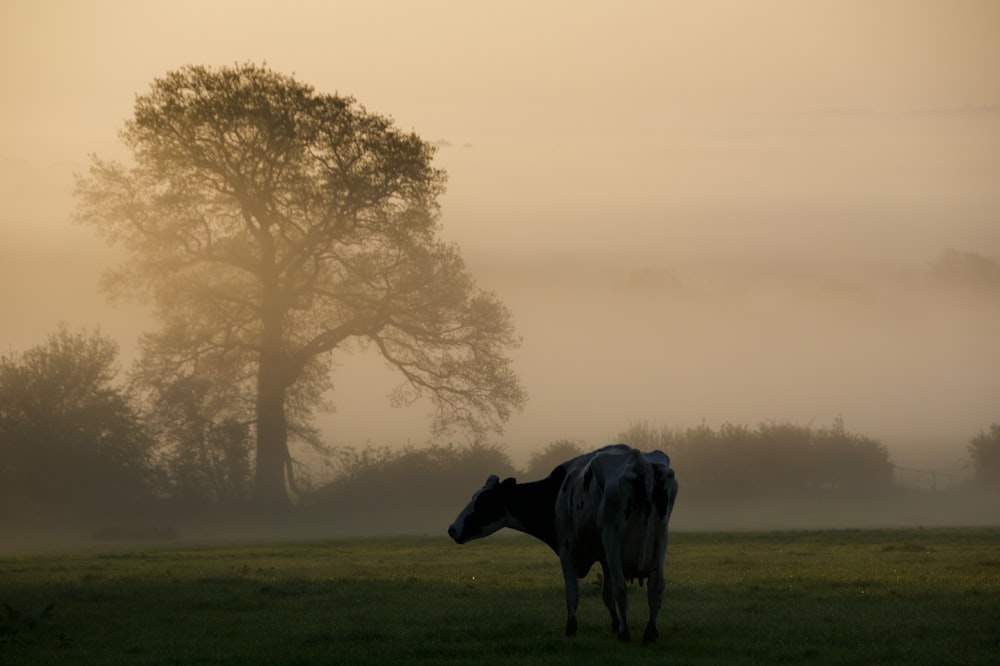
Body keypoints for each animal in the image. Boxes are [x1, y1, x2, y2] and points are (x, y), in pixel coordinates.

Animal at [448, 444, 676, 640]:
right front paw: (613, 624)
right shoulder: (603, 557)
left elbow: (573, 593)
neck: (556, 493)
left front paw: (571, 629)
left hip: (612, 536)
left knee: (622, 587)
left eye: (484, 501)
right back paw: (650, 633)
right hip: (660, 538)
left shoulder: (568, 551)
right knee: (656, 586)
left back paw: (625, 634)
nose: (452, 529)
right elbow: (606, 594)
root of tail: (639, 461)